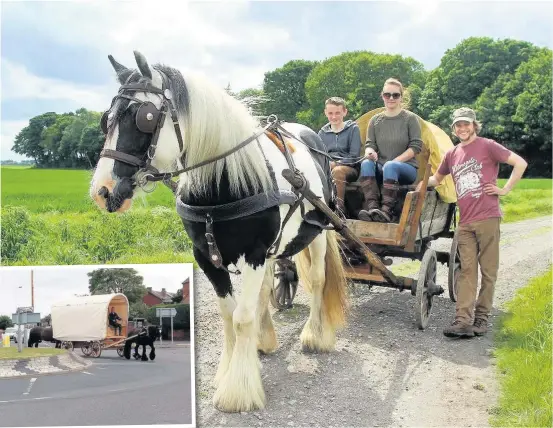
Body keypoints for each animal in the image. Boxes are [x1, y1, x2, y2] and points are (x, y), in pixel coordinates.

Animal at [91, 51, 350, 412]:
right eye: (108, 120)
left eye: (145, 117)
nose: (101, 191)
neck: (224, 184)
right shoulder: (205, 256)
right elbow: (230, 315)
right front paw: (230, 371)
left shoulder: (255, 253)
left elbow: (241, 317)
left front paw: (238, 390)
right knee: (266, 289)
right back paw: (264, 340)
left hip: (320, 230)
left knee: (317, 280)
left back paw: (314, 335)